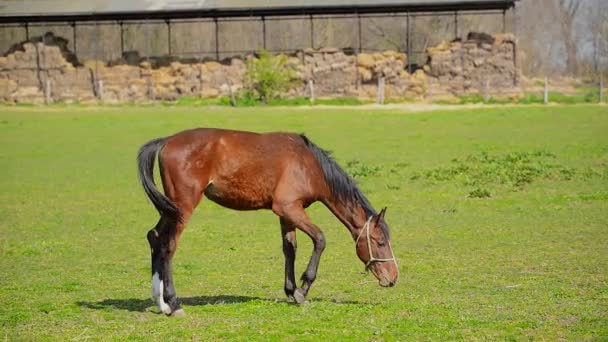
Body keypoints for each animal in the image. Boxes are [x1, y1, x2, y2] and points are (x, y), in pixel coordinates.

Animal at [137, 127, 400, 316]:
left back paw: (160, 303)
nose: (393, 277)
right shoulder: (288, 208)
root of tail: (167, 140)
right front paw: (303, 289)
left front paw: (291, 291)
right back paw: (174, 303)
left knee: (155, 238)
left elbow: (290, 249)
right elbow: (320, 239)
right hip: (183, 208)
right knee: (168, 247)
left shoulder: (287, 213)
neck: (308, 164)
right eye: (379, 242)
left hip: (170, 208)